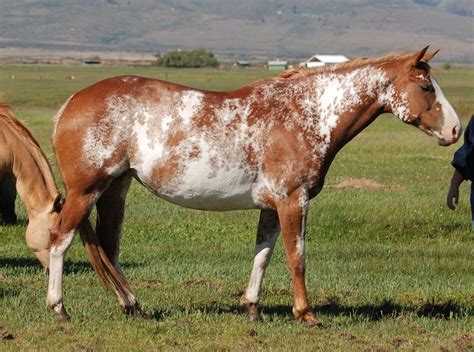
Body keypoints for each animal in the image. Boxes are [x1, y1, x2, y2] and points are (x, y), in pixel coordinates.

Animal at [50, 46, 462, 324]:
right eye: (426, 87)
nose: (456, 130)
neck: (306, 114)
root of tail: (72, 102)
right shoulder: (293, 201)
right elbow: (297, 257)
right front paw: (306, 313)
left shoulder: (270, 205)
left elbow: (262, 256)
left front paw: (253, 309)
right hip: (86, 191)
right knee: (60, 240)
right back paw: (59, 309)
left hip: (115, 189)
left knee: (106, 246)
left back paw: (133, 306)